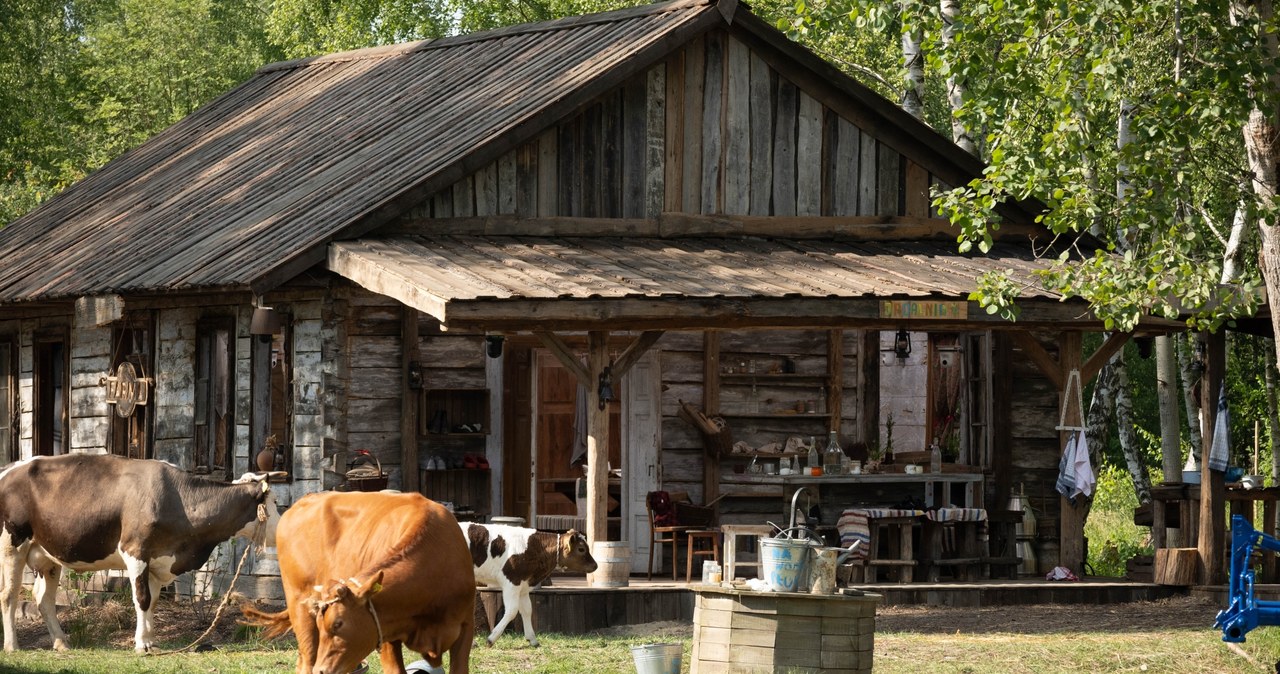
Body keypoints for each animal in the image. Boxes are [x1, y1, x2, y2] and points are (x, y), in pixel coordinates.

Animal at [241, 491, 473, 674]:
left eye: (338, 623)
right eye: (324, 624)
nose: (322, 671)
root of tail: (304, 501)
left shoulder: (465, 628)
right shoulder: (386, 634)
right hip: (299, 607)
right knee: (307, 661)